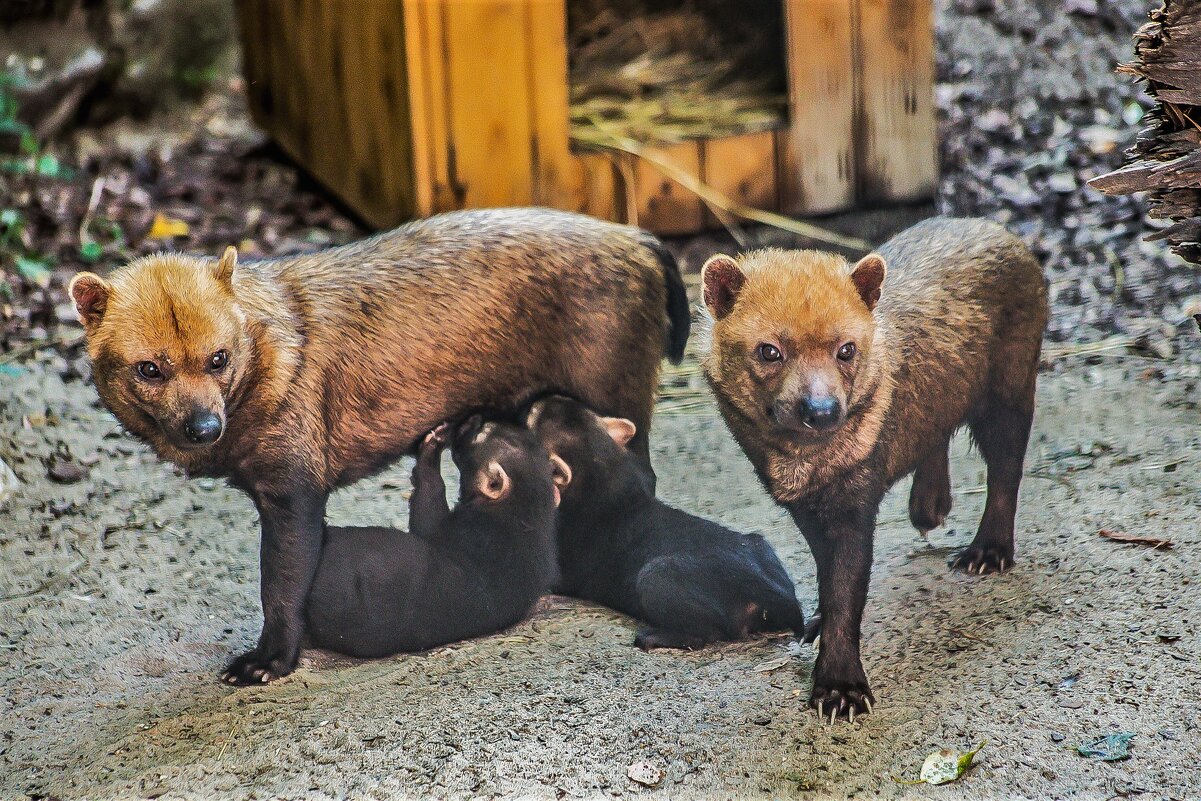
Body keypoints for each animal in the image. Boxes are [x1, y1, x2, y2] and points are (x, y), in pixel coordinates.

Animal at [302, 417, 564, 662]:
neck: (524, 519)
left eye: (484, 434)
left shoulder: (464, 531)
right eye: (519, 435)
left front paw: (433, 444)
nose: (475, 418)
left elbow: (427, 507)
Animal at [528, 393, 802, 653]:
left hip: (656, 575)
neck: (606, 480)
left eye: (535, 419)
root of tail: (780, 595)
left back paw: (650, 637)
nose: (540, 400)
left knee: (709, 633)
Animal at [701, 217, 1047, 720]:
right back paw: (929, 508)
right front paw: (816, 625)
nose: (821, 410)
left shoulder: (855, 502)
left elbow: (848, 588)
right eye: (769, 350)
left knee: (1007, 468)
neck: (806, 469)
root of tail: (1001, 231)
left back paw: (987, 552)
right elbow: (828, 578)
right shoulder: (808, 511)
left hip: (1009, 390)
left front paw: (840, 691)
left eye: (846, 349)